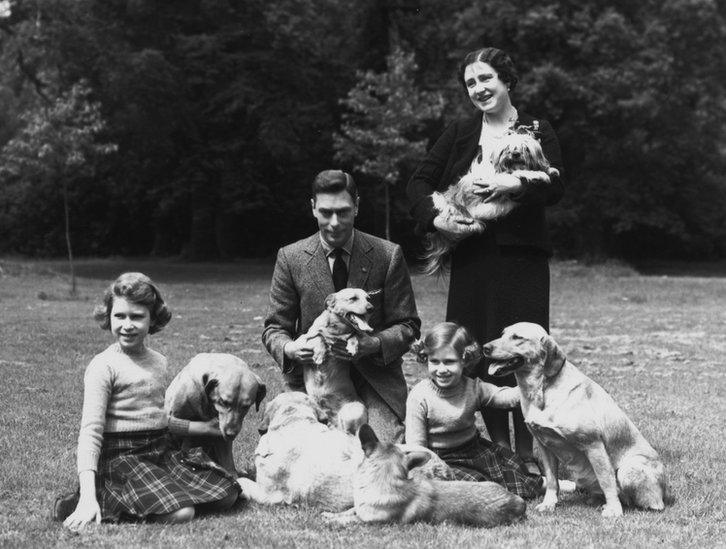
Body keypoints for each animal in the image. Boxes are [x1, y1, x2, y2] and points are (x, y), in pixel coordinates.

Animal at [304, 286, 378, 432]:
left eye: (368, 298)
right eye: (353, 298)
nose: (371, 308)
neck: (337, 330)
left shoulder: (354, 334)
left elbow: (355, 334)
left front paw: (352, 346)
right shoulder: (306, 339)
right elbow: (319, 336)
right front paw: (320, 353)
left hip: (351, 413)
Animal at [424, 128, 560, 274]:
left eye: (525, 148)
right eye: (508, 148)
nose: (516, 154)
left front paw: (550, 170)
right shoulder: (499, 178)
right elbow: (520, 174)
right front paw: (540, 174)